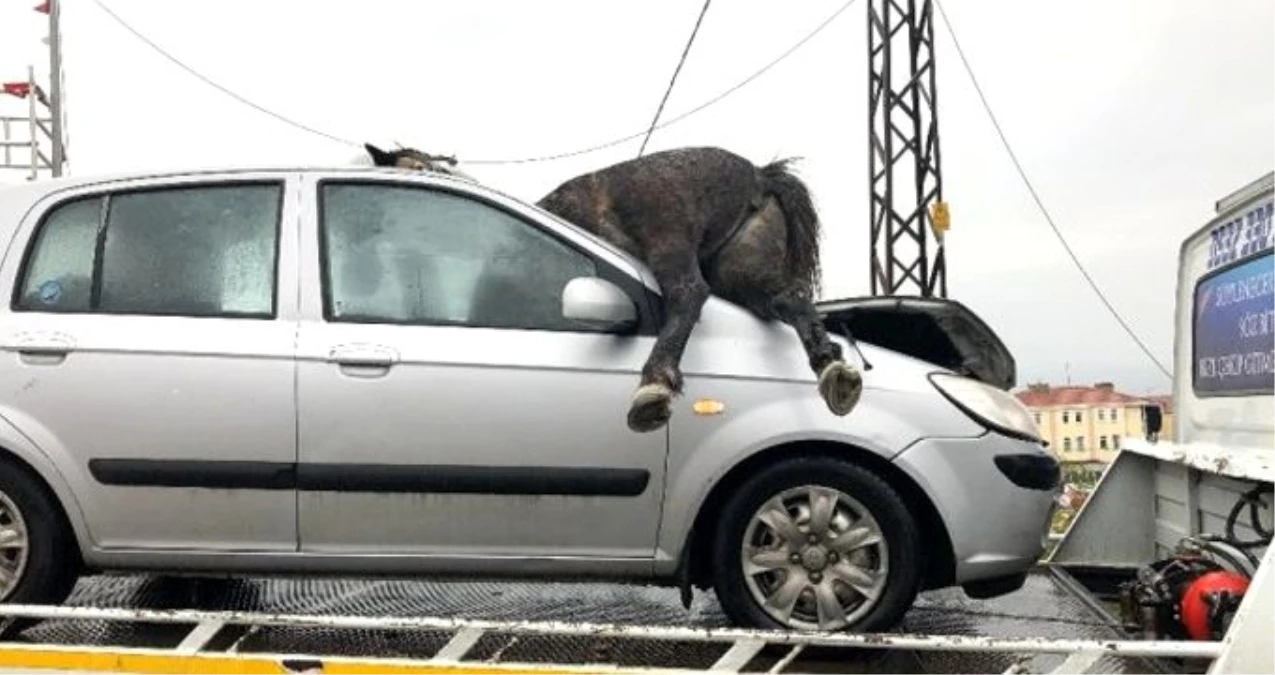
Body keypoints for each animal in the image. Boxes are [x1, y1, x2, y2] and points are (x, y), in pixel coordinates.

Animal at [364, 144, 861, 433]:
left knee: (689, 294)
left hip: (669, 242)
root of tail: (759, 174)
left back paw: (653, 387)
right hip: (742, 267)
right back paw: (833, 371)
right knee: (788, 298)